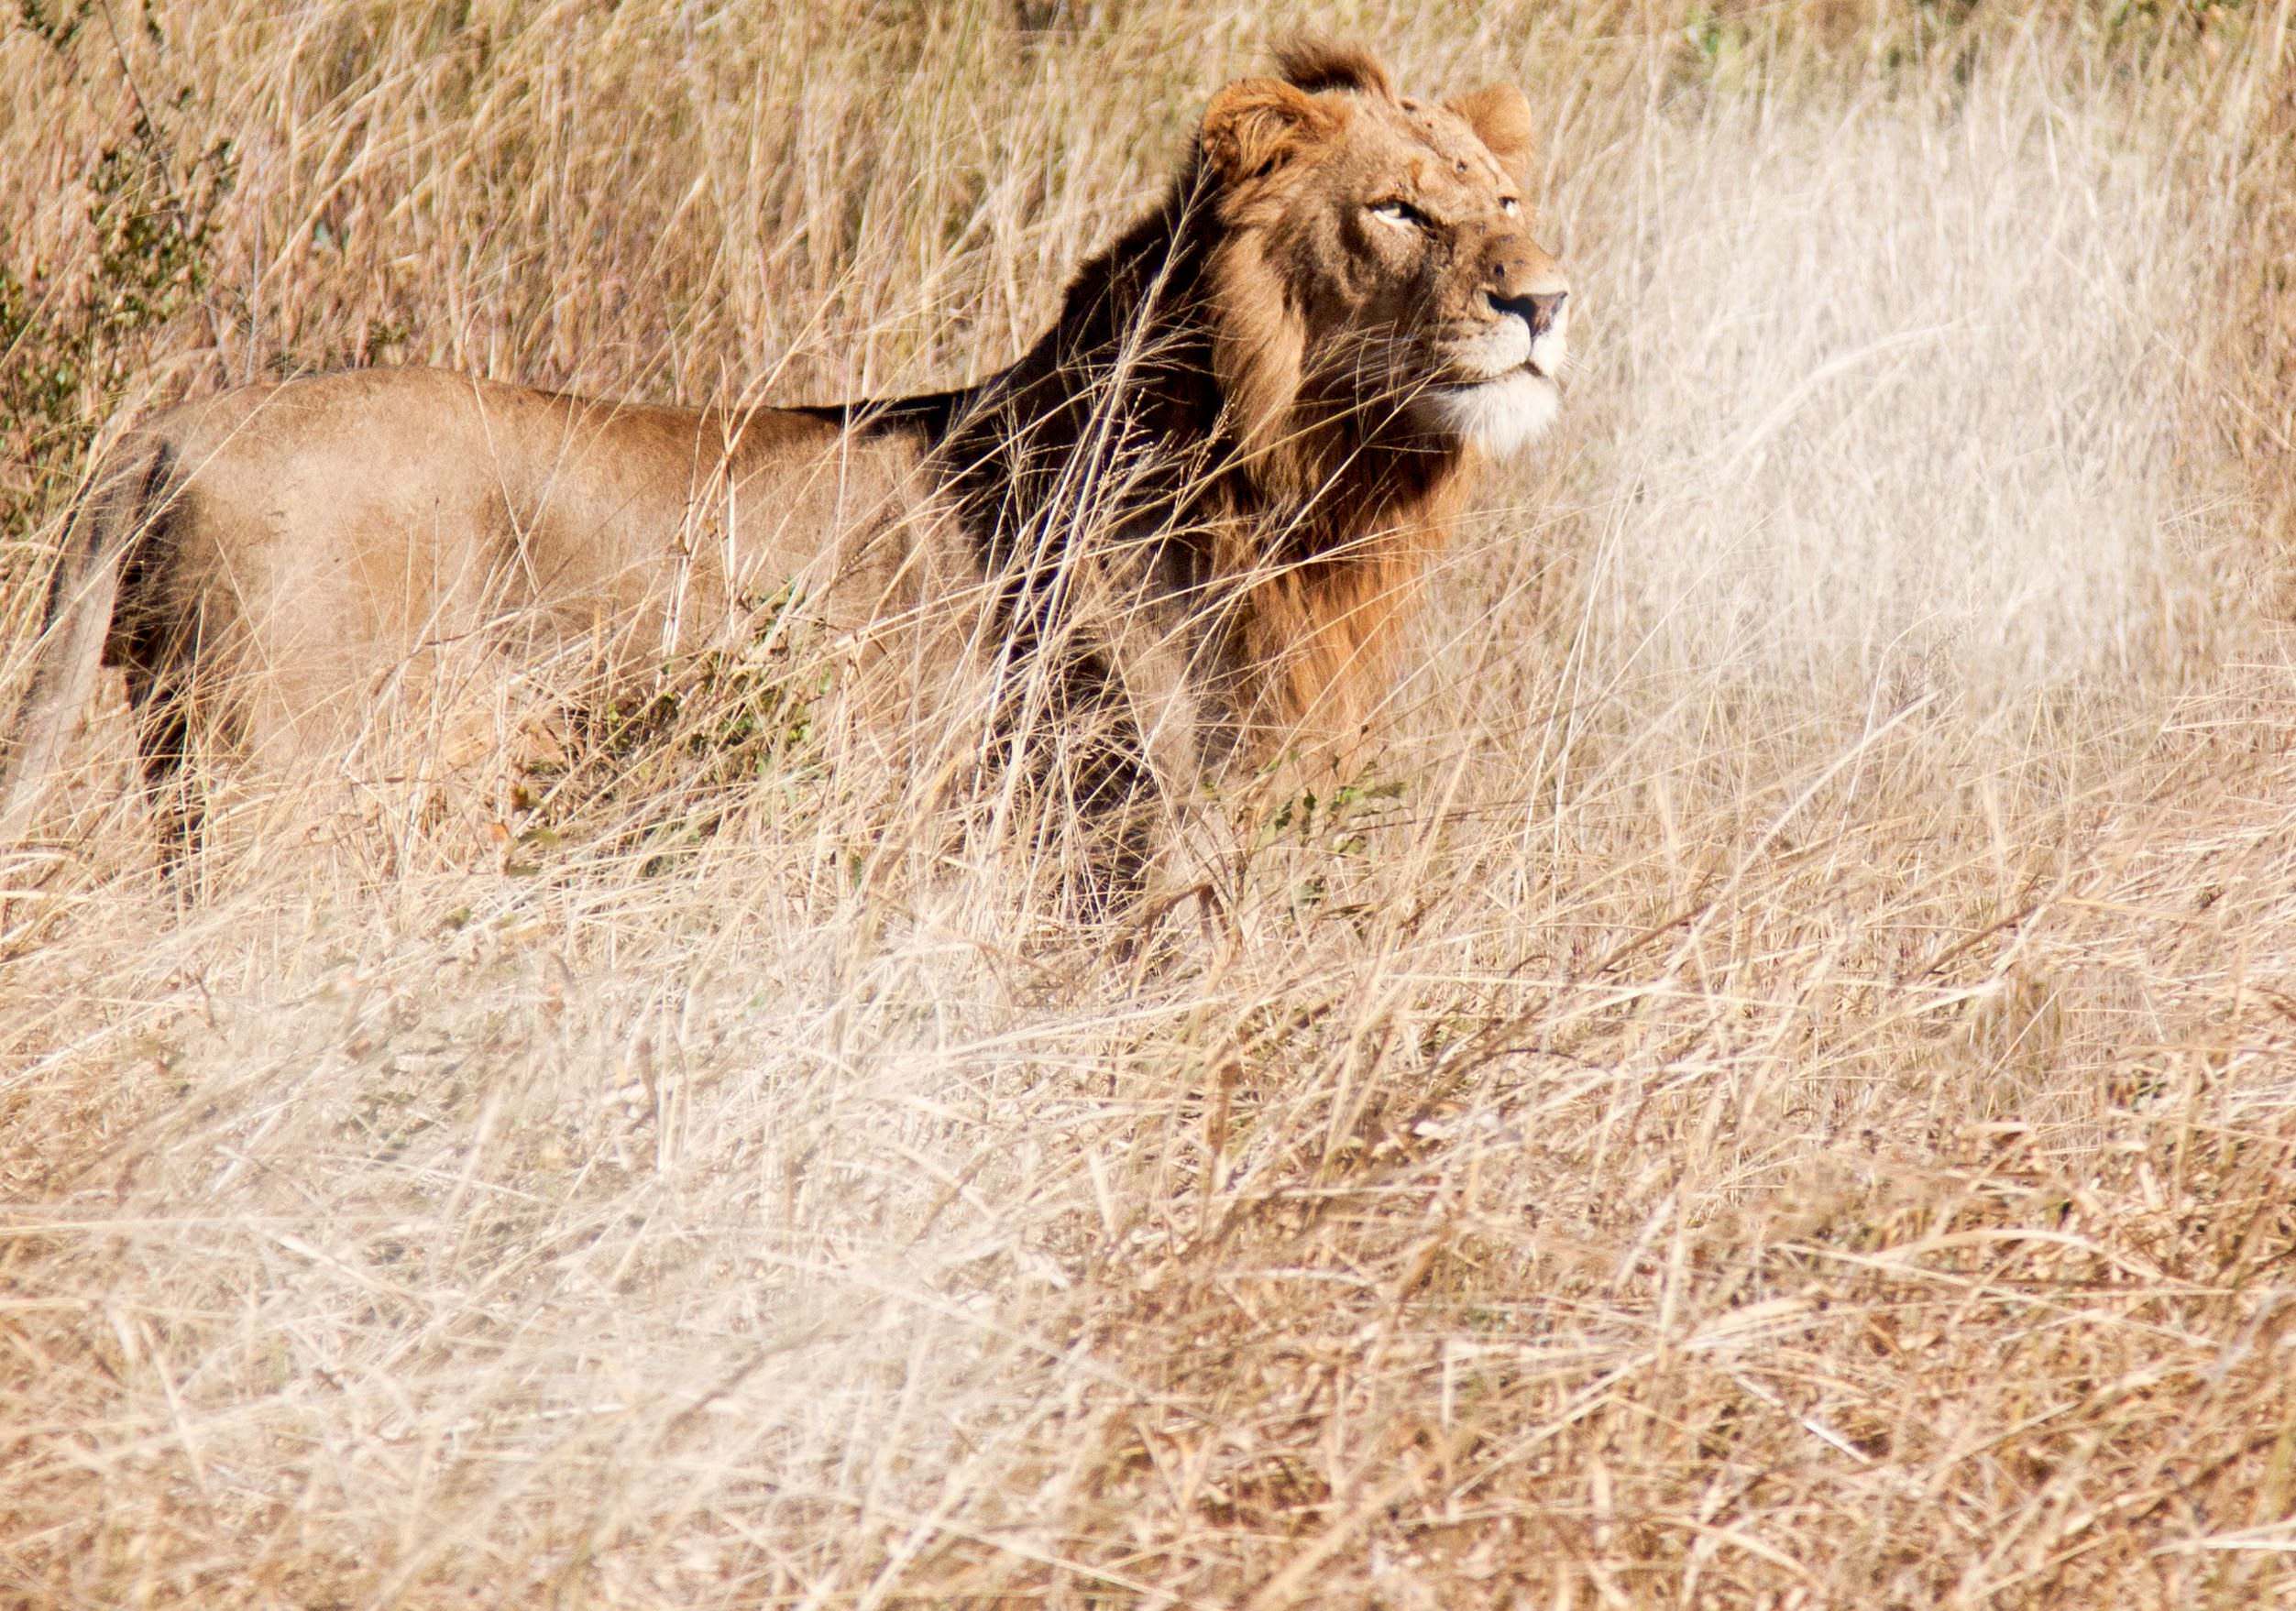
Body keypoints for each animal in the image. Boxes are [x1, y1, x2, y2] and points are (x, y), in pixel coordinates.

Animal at [0, 38, 1570, 904]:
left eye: (1506, 201)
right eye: (1397, 211)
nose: (1546, 303)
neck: (1298, 477)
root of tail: (165, 431)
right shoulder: (1134, 823)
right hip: (285, 784)